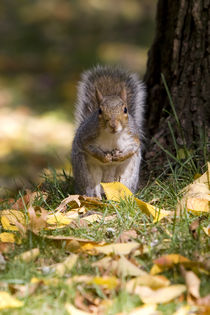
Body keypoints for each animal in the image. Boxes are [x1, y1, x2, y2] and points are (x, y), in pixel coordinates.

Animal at [71, 65, 145, 199]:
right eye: (100, 110)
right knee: (92, 187)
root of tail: (107, 182)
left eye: (125, 109)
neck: (112, 136)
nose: (113, 125)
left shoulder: (132, 136)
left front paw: (119, 156)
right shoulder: (87, 136)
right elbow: (89, 148)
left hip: (128, 174)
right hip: (87, 173)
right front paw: (105, 157)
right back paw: (96, 198)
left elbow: (134, 147)